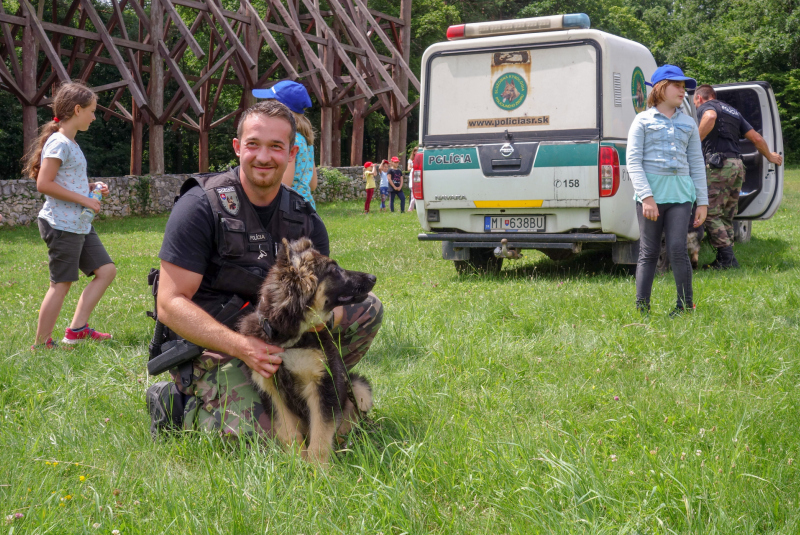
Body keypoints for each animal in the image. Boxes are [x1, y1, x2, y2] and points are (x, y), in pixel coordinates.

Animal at [236, 239, 376, 464]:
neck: (289, 338)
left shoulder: (322, 384)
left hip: (358, 386)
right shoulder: (270, 388)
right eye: (334, 270)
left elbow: (321, 432)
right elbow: (289, 433)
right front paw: (296, 462)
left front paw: (318, 468)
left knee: (351, 423)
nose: (373, 277)